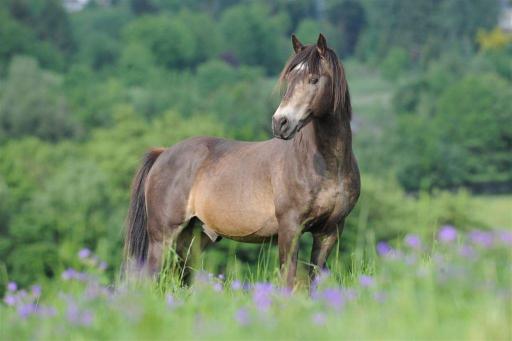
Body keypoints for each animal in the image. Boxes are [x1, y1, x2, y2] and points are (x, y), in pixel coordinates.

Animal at [123, 33, 360, 286]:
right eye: (289, 78)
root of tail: (163, 153)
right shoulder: (290, 228)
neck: (326, 165)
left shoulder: (329, 232)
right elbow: (287, 278)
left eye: (314, 79)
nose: (280, 122)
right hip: (163, 237)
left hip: (193, 238)